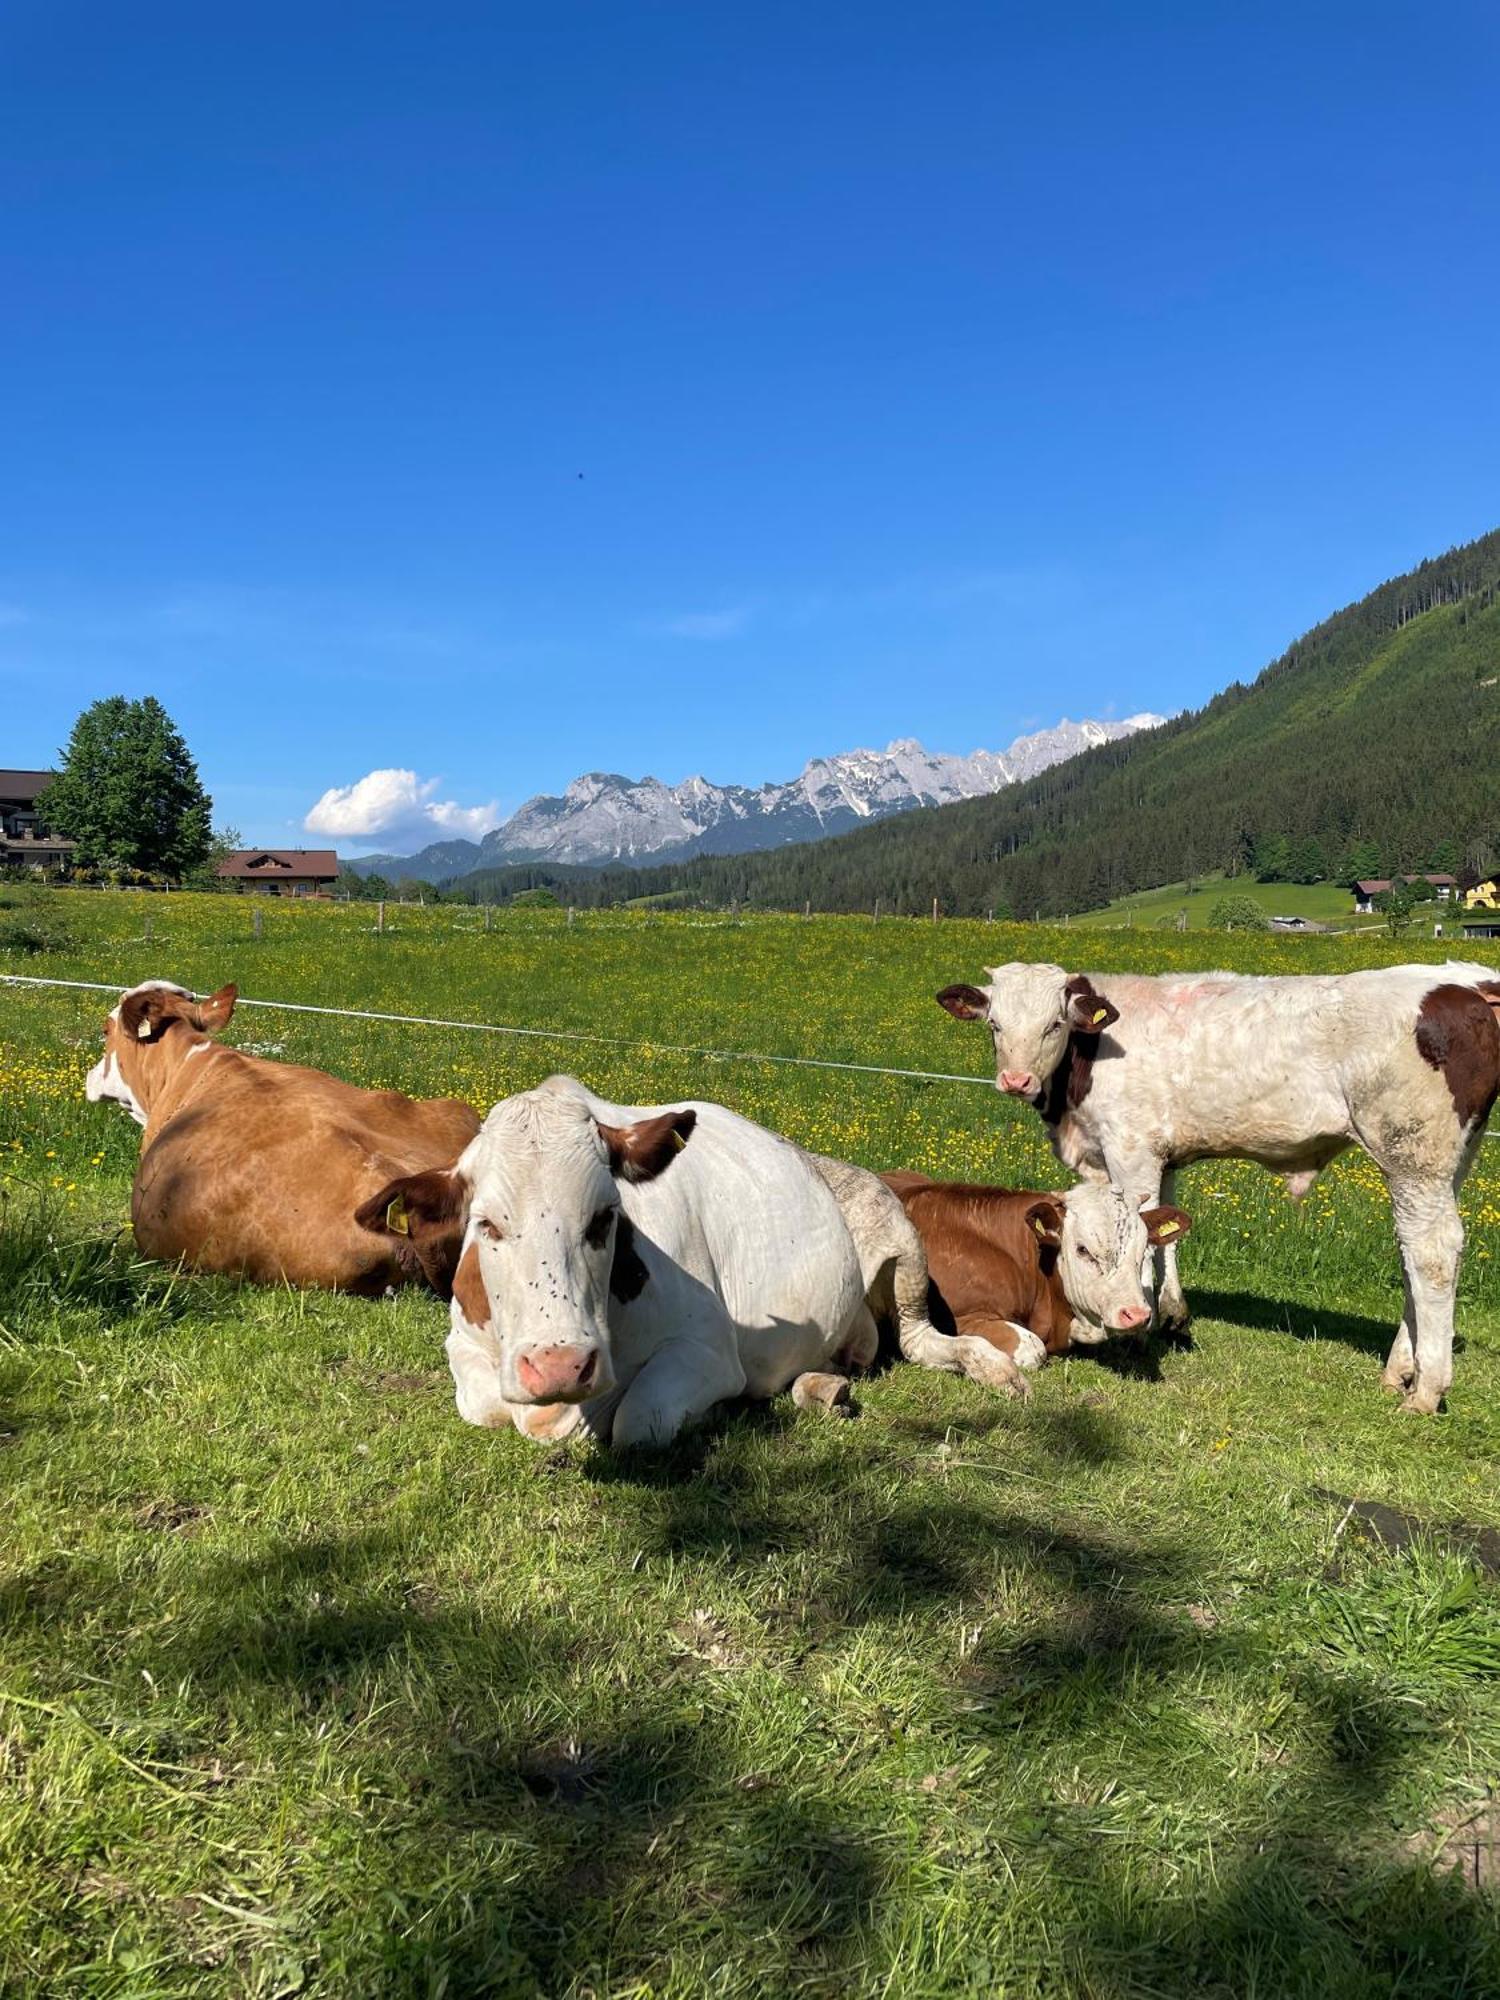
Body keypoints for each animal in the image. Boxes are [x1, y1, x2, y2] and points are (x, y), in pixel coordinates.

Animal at [354, 1072, 876, 1448]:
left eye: (605, 1216)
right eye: (487, 1225)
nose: (559, 1365)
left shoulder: (708, 1349)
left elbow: (641, 1421)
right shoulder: (460, 1341)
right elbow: (487, 1407)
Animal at [940, 960, 1500, 1416]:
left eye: (1054, 1024)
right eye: (995, 1024)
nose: (1015, 1080)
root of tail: (1470, 981)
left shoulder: (1131, 1150)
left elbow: (1144, 1237)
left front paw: (1138, 1332)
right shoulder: (1161, 1156)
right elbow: (1164, 1230)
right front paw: (1172, 1315)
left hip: (1413, 1155)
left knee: (1432, 1253)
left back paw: (1426, 1390)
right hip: (1448, 1161)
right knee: (1411, 1253)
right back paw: (1399, 1371)